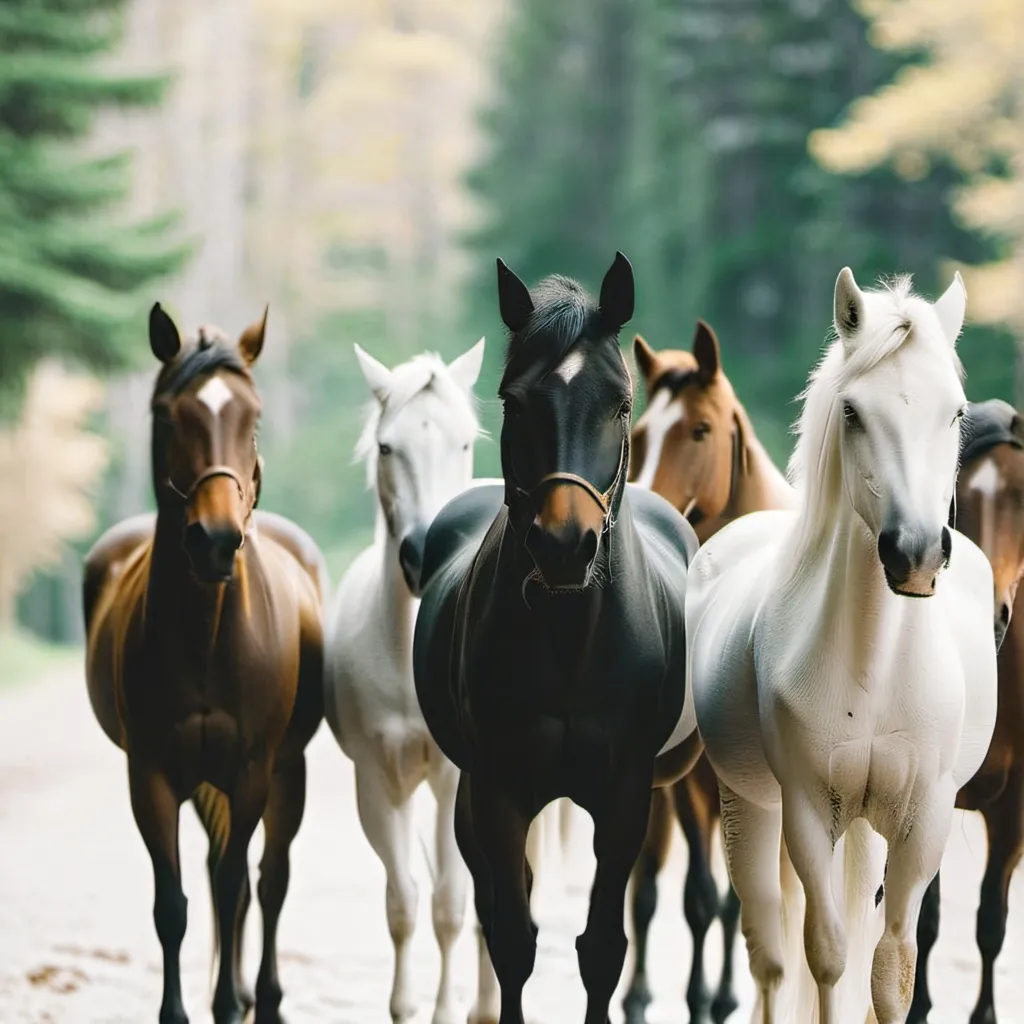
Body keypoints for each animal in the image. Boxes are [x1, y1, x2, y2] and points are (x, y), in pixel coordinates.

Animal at [83, 306, 327, 1024]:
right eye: (168, 415)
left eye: (255, 417)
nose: (216, 540)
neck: (208, 637)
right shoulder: (154, 775)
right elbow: (174, 904)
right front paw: (181, 1011)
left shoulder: (250, 772)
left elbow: (232, 885)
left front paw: (226, 1004)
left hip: (287, 773)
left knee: (267, 882)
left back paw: (262, 997)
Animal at [412, 252, 703, 1024]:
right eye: (514, 402)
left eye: (621, 404)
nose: (565, 545)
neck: (572, 639)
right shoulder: (497, 793)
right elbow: (514, 939)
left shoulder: (626, 798)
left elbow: (602, 948)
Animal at [686, 267, 999, 1023]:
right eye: (854, 412)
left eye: (955, 414)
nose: (916, 555)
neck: (874, 666)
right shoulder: (804, 811)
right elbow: (824, 958)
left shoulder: (923, 824)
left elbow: (891, 971)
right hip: (751, 811)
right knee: (769, 957)